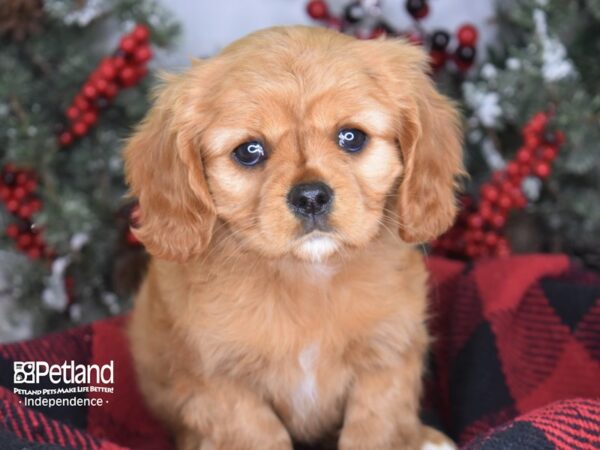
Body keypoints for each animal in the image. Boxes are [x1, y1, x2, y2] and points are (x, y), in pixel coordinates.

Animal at [125, 25, 464, 450]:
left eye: (351, 137)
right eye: (249, 150)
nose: (311, 197)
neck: (309, 276)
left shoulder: (388, 357)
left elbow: (377, 428)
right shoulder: (219, 381)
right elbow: (259, 434)